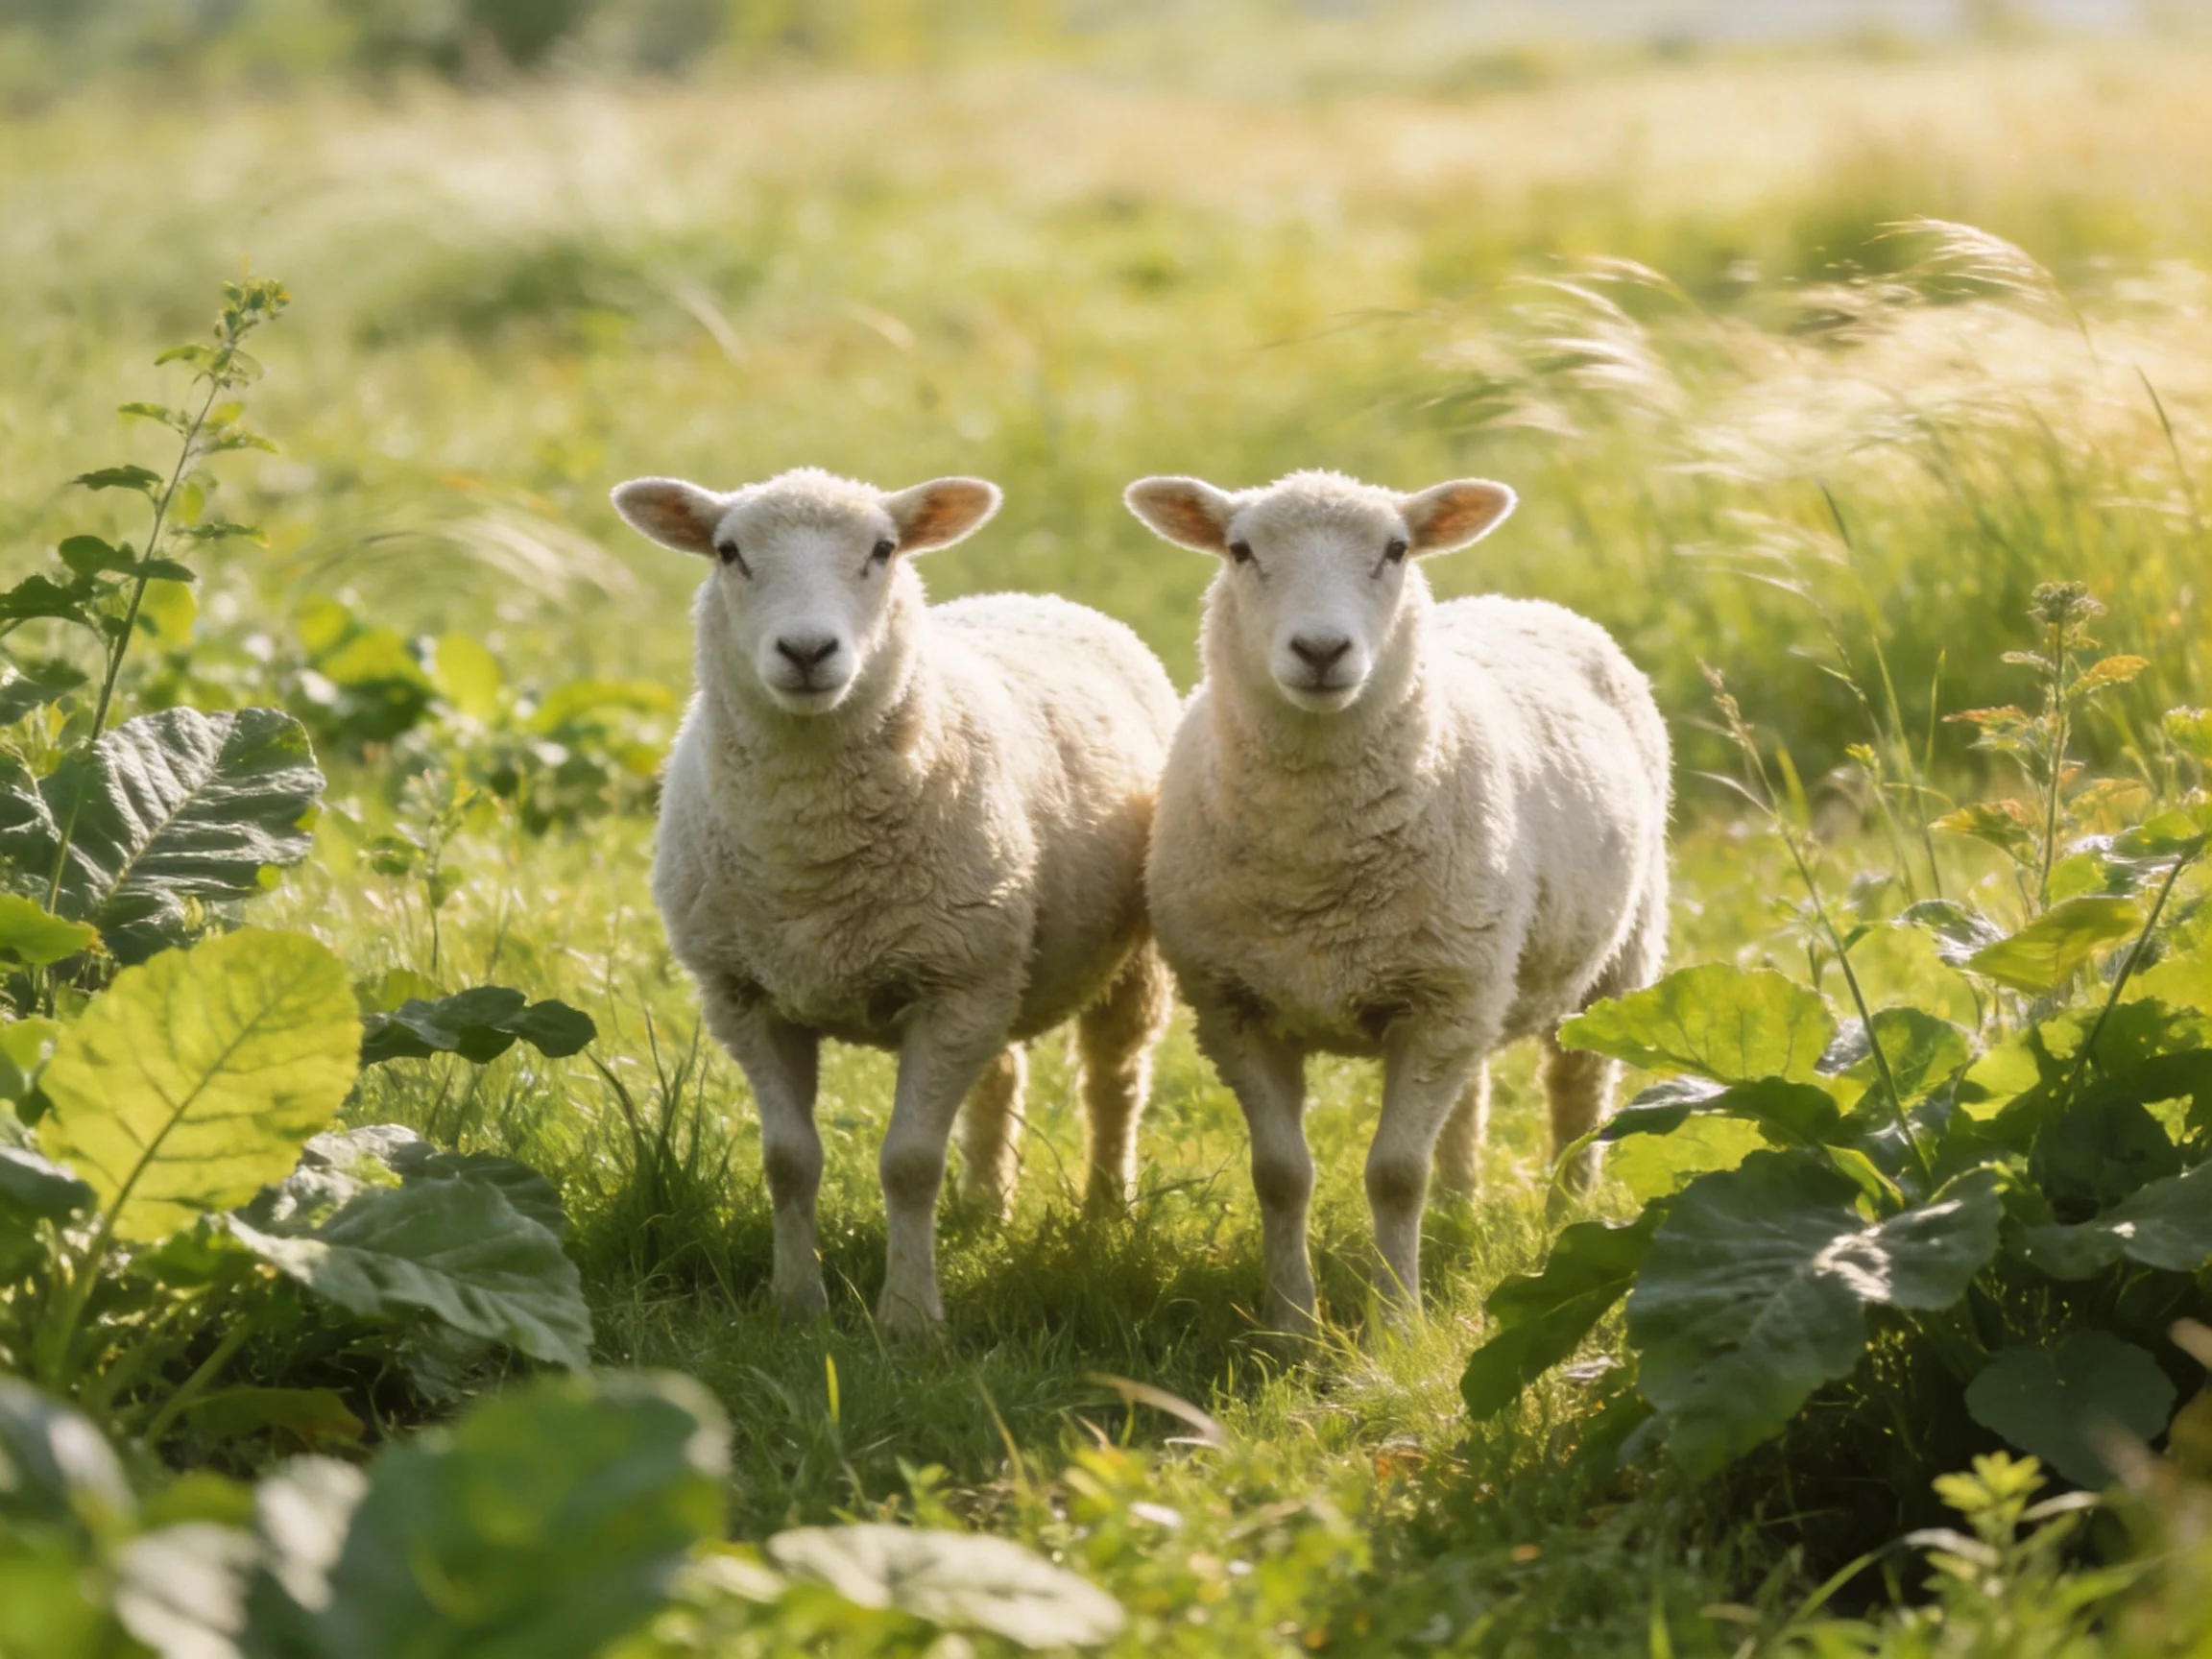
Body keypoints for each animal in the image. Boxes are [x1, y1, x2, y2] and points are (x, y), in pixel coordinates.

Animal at [614, 467, 1178, 1333]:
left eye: (882, 550)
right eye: (728, 551)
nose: (807, 650)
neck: (810, 856)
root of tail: (1035, 595)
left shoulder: (953, 989)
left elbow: (910, 1164)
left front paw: (910, 1317)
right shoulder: (744, 993)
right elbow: (788, 1160)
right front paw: (796, 1303)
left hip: (1111, 959)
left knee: (1113, 1081)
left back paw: (1107, 1213)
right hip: (990, 956)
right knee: (1002, 1075)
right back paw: (984, 1207)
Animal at [1124, 468, 1670, 1331]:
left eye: (1396, 549)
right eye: (1240, 550)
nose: (1320, 651)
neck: (1313, 867)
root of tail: (1518, 600)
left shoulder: (1437, 1002)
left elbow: (1393, 1174)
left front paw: (1396, 1323)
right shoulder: (1236, 1008)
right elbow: (1280, 1174)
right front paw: (1291, 1324)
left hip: (1611, 957)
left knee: (1578, 1093)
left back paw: (1566, 1219)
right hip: (1471, 970)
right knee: (1469, 1101)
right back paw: (1457, 1213)